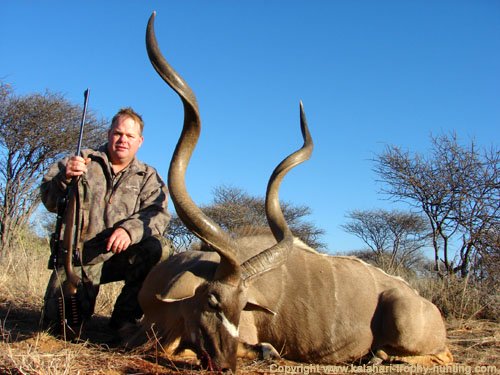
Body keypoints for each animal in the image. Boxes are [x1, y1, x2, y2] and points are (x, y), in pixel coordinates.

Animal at [136, 11, 454, 374]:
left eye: (242, 306)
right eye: (212, 301)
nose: (225, 364)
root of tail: (424, 304)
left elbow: (257, 348)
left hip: (406, 322)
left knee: (437, 354)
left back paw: (379, 356)